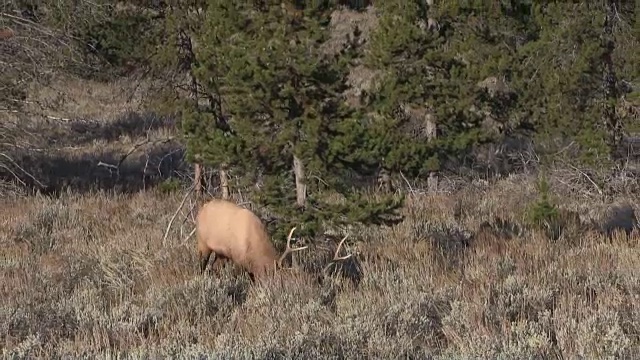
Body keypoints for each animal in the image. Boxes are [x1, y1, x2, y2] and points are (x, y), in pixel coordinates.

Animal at [196, 200, 352, 282]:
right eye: (285, 281)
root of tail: (202, 207)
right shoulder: (237, 258)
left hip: (221, 253)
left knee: (214, 267)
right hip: (202, 242)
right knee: (202, 264)